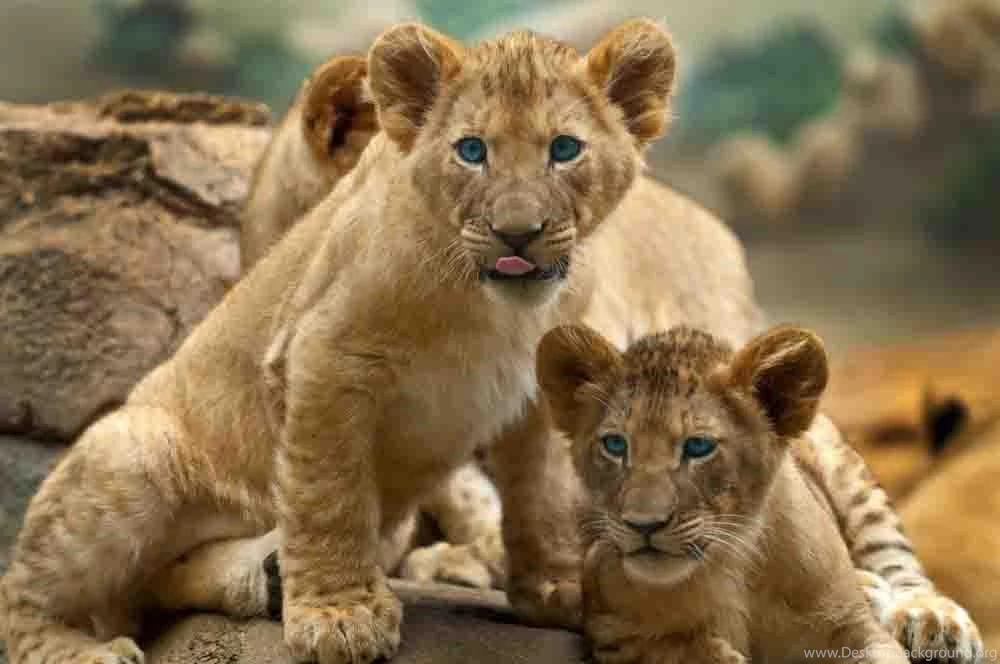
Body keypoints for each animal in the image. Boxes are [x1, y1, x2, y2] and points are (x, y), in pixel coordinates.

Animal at [537, 323, 913, 664]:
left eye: (698, 446)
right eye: (615, 444)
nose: (643, 525)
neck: (731, 565)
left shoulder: (856, 628)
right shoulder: (610, 631)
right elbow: (670, 648)